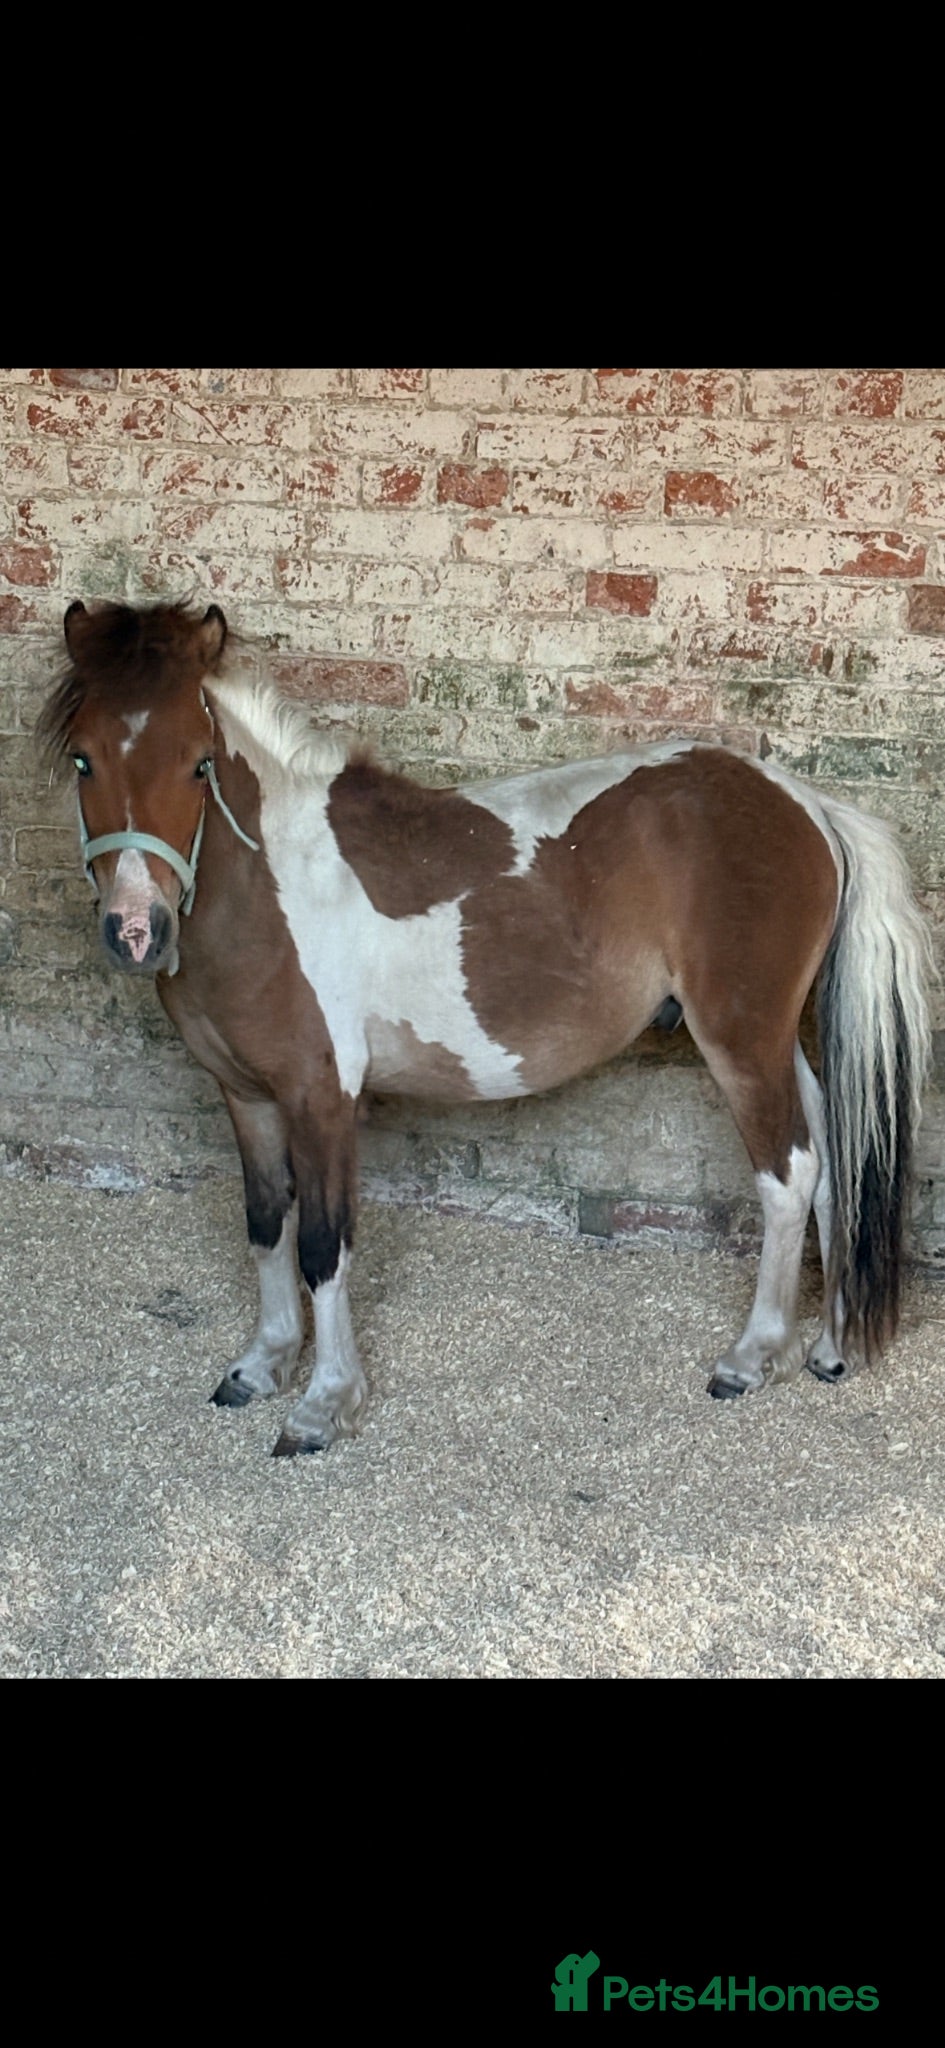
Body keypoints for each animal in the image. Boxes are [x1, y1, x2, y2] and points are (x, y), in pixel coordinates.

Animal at [38, 598, 933, 1457]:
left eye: (198, 763)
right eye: (83, 759)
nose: (135, 930)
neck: (271, 883)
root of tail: (805, 802)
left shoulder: (321, 1096)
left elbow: (323, 1245)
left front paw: (324, 1405)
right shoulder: (245, 1095)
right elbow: (266, 1225)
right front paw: (262, 1365)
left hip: (738, 1038)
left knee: (789, 1177)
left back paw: (750, 1358)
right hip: (773, 1040)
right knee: (833, 1158)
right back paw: (829, 1346)